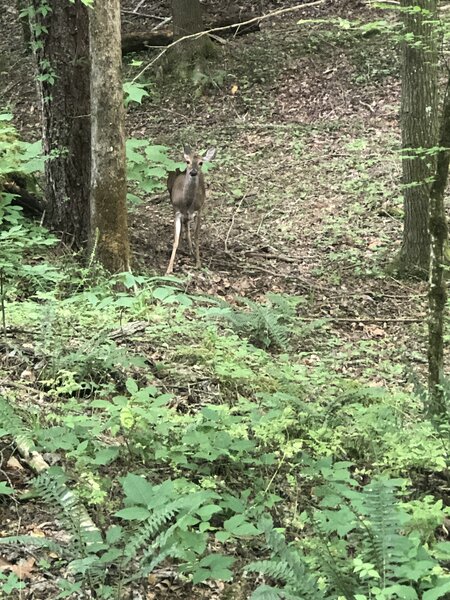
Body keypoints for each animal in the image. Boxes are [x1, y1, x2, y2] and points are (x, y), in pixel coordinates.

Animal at [165, 145, 216, 276]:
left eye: (201, 163)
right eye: (187, 161)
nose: (193, 172)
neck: (187, 204)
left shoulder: (199, 210)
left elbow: (196, 237)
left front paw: (198, 263)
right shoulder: (176, 210)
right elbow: (175, 240)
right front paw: (169, 269)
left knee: (187, 225)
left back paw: (191, 250)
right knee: (185, 225)